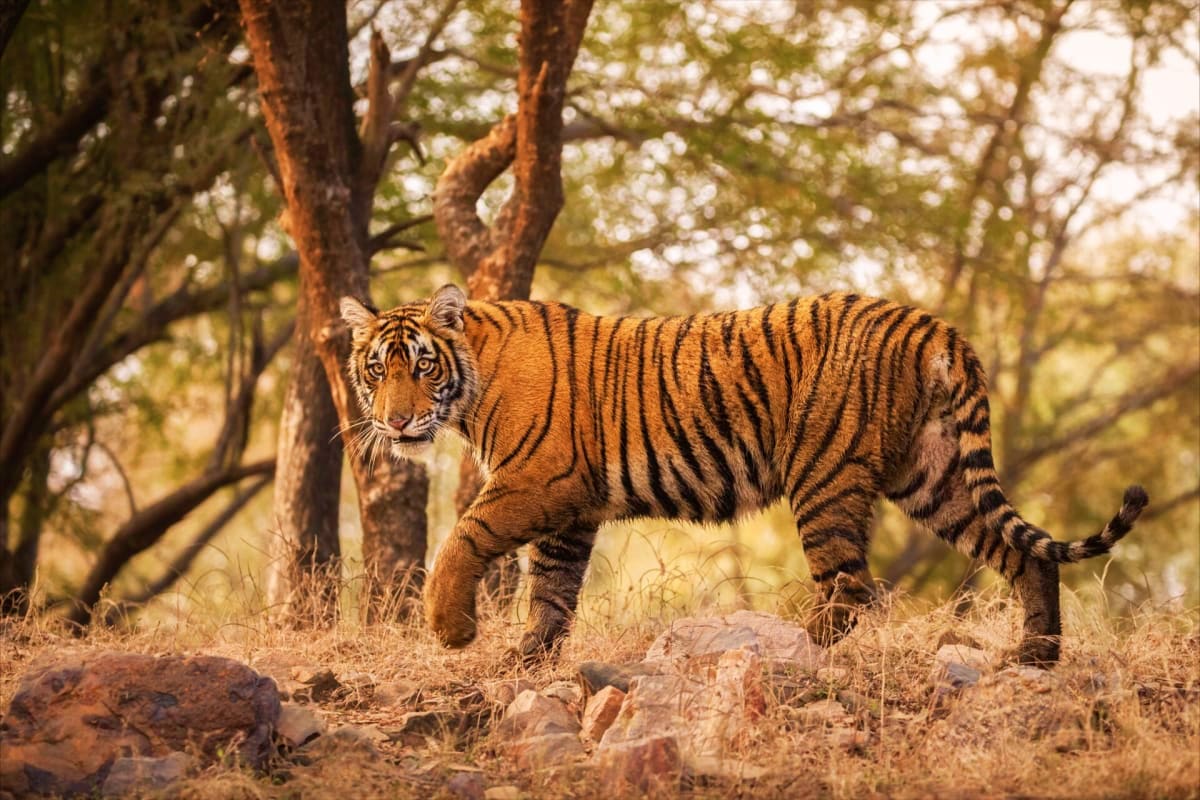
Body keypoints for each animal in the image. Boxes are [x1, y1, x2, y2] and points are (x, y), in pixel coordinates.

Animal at [340, 284, 1148, 666]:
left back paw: (786, 647)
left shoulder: (540, 480)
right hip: (936, 476)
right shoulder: (572, 509)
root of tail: (935, 326)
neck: (469, 386)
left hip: (825, 474)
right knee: (1024, 557)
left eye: (421, 366)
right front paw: (525, 660)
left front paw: (452, 631)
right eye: (376, 370)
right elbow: (552, 592)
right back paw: (1035, 657)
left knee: (850, 589)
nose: (395, 422)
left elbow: (464, 537)